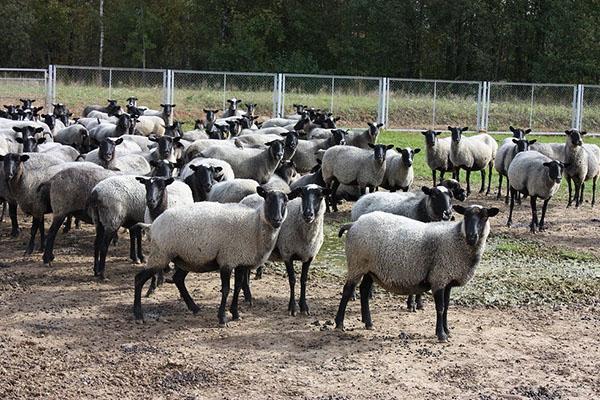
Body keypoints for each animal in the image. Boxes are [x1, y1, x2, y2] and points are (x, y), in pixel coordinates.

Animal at [135, 188, 290, 324]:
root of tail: (152, 225)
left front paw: (235, 314)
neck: (254, 225)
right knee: (139, 279)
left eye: (286, 201)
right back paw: (138, 316)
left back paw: (194, 308)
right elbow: (226, 289)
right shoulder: (226, 260)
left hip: (183, 258)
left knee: (178, 279)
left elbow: (238, 287)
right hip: (160, 254)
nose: (277, 219)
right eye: (268, 199)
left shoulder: (240, 261)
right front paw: (222, 318)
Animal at [241, 184, 330, 316]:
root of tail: (247, 197)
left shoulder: (309, 256)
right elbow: (292, 280)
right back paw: (248, 297)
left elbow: (303, 280)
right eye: (302, 195)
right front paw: (292, 307)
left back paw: (247, 295)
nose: (308, 214)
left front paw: (304, 306)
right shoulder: (287, 253)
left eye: (320, 195)